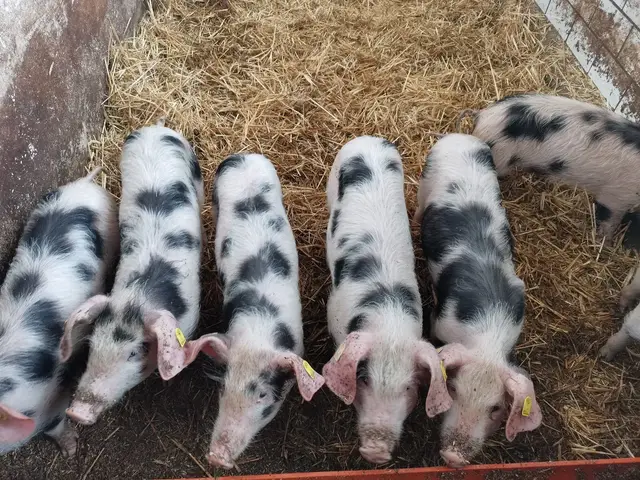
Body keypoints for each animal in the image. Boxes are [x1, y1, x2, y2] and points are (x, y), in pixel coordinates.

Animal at [58, 121, 204, 425]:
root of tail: (155, 128)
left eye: (135, 352)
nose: (77, 413)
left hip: (195, 171)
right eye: (93, 343)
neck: (139, 296)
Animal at [415, 133, 543, 468]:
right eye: (453, 389)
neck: (488, 332)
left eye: (496, 408)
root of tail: (459, 137)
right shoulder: (441, 319)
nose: (453, 456)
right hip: (427, 174)